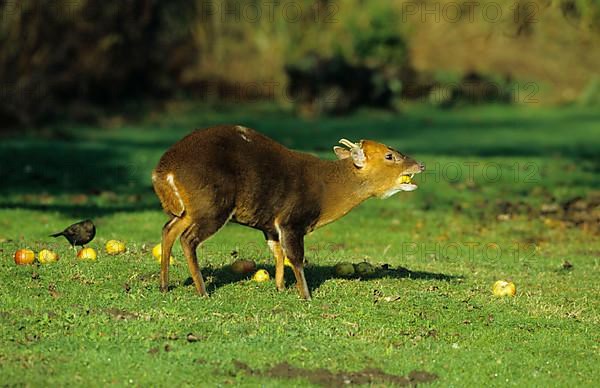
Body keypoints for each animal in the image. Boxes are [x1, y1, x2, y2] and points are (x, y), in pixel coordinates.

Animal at [152, 126, 424, 298]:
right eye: (390, 155)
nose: (420, 165)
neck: (326, 190)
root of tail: (162, 172)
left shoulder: (271, 225)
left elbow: (278, 253)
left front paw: (280, 288)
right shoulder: (292, 220)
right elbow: (295, 256)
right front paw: (306, 296)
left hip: (191, 209)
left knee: (168, 229)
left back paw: (164, 286)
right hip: (213, 205)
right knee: (188, 238)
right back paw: (203, 291)